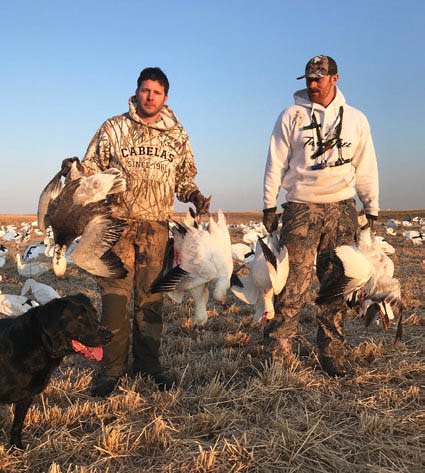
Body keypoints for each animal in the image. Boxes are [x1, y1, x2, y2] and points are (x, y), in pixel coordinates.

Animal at [0, 294, 111, 448]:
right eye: (79, 317)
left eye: (95, 313)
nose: (109, 335)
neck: (39, 343)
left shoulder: (26, 397)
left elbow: (17, 425)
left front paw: (16, 447)